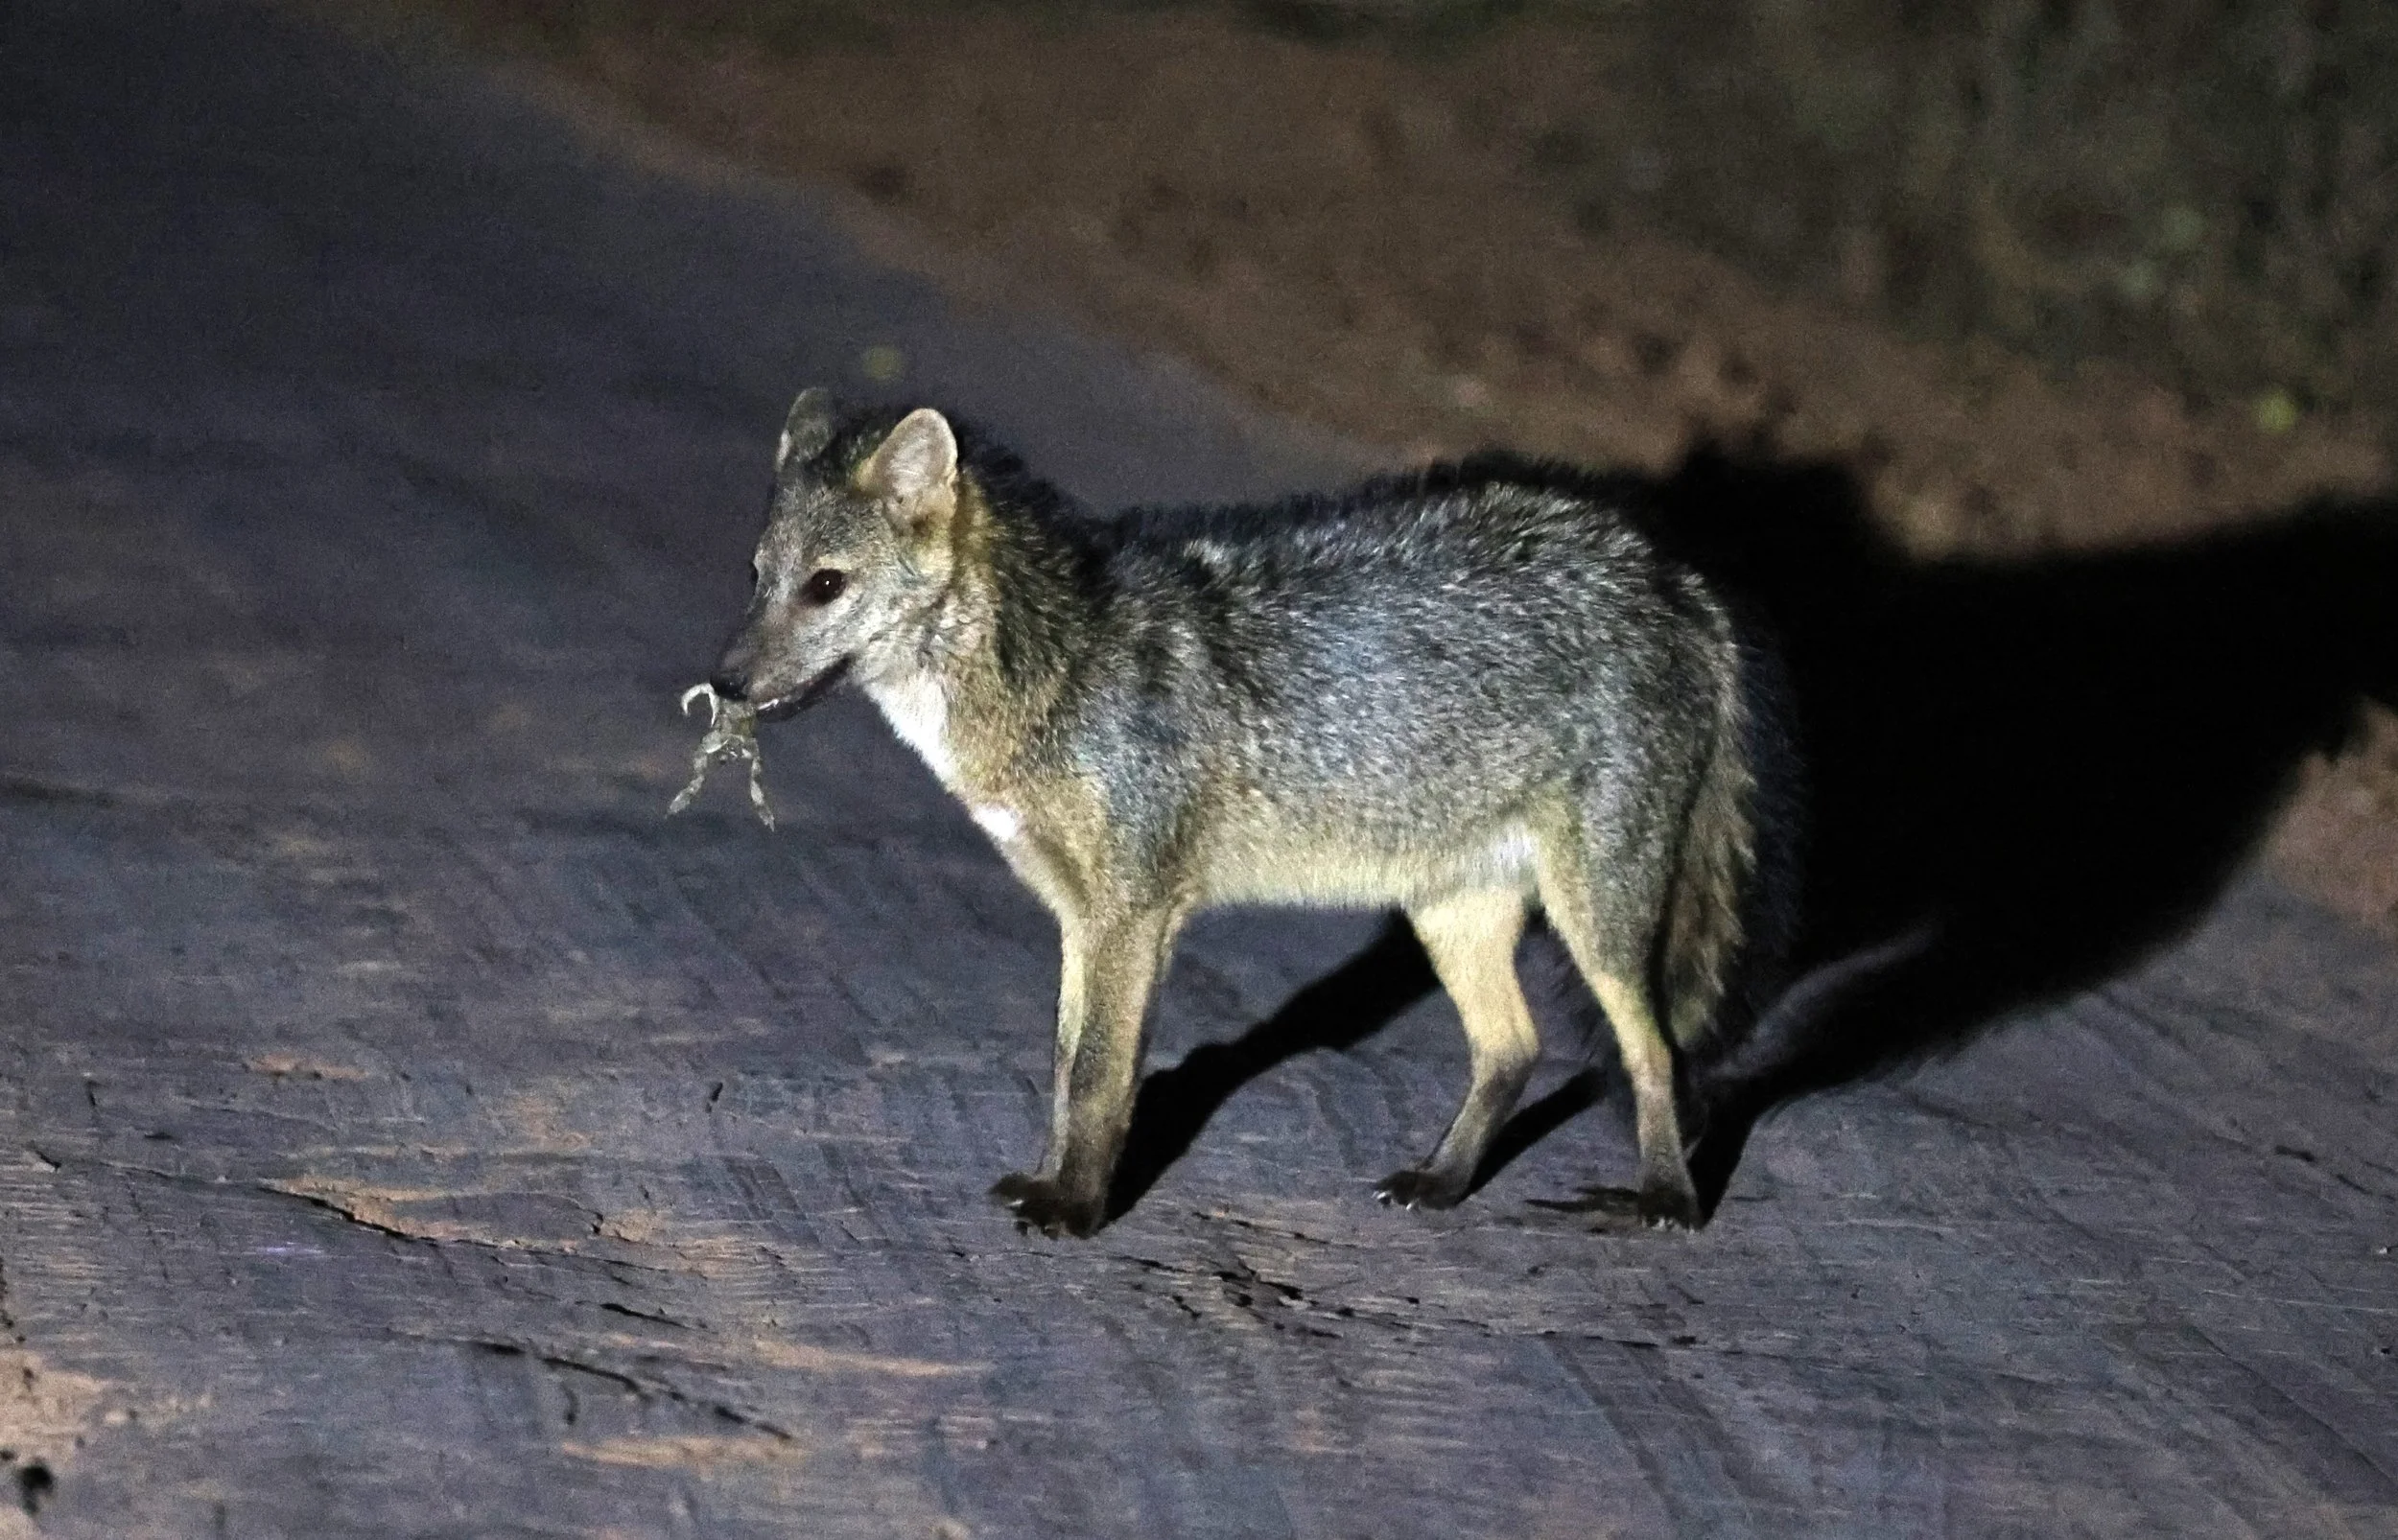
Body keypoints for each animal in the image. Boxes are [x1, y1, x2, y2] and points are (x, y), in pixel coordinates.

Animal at [704, 389, 1800, 1237]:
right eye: (756, 578)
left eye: (826, 586)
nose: (723, 685)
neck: (1056, 670)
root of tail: (1672, 574)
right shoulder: (1080, 919)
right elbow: (1065, 1068)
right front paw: (1056, 1181)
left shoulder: (1133, 916)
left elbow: (1098, 1077)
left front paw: (1075, 1211)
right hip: (1450, 910)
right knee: (1513, 1048)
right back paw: (1442, 1183)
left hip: (1596, 919)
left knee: (1655, 1053)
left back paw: (1666, 1201)